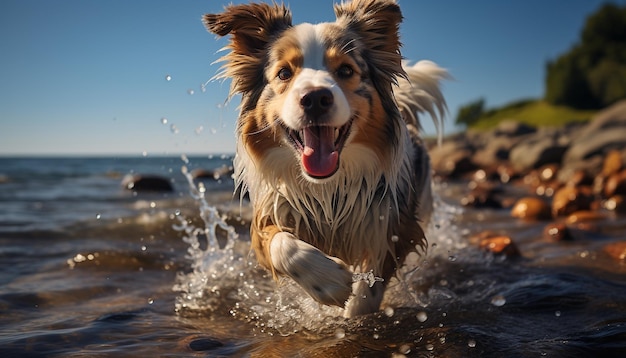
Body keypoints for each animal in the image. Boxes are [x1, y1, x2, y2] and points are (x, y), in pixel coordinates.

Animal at [204, 0, 444, 318]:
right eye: (284, 73)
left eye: (345, 69)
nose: (315, 98)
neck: (327, 189)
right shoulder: (268, 216)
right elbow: (280, 243)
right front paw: (329, 280)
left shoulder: (398, 227)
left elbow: (370, 288)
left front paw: (353, 311)